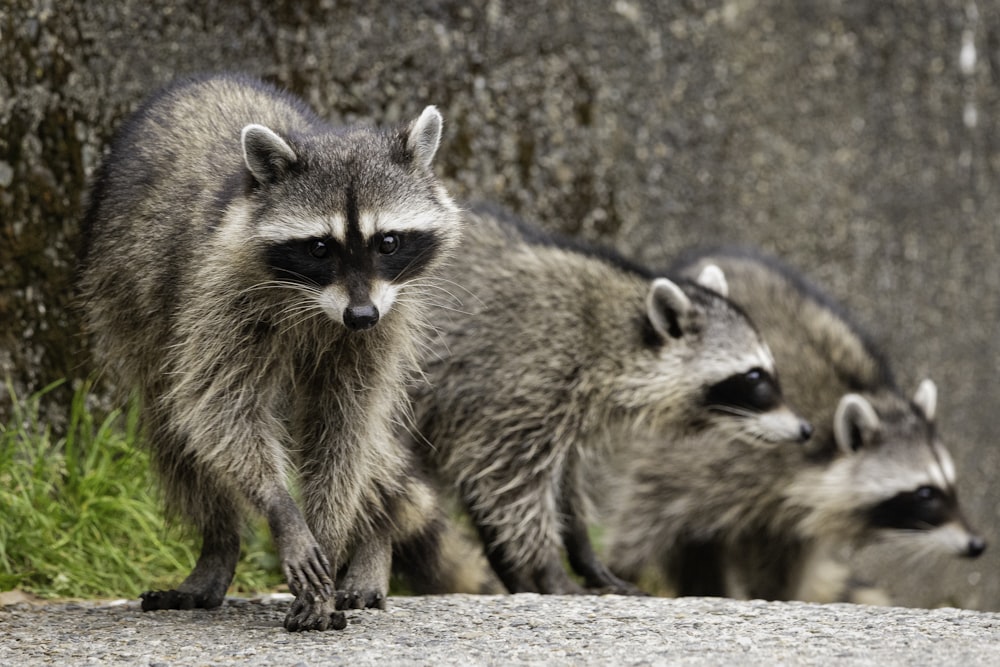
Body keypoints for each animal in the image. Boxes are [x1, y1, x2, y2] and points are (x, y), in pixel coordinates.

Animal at [76, 74, 462, 632]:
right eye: (320, 247)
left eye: (387, 242)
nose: (361, 316)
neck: (321, 307)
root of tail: (210, 79)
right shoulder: (218, 292)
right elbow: (217, 408)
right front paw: (282, 508)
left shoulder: (386, 318)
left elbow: (345, 425)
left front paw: (333, 530)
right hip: (128, 299)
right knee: (172, 421)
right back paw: (219, 544)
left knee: (372, 443)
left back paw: (374, 535)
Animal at [404, 207, 812, 596]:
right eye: (754, 377)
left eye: (769, 371)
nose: (805, 429)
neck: (612, 337)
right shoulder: (517, 384)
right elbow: (511, 487)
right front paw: (546, 567)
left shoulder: (556, 410)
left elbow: (561, 484)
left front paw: (581, 554)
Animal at [600, 248, 984, 604]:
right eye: (925, 494)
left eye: (951, 485)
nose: (977, 544)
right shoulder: (708, 459)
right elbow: (646, 516)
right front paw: (617, 569)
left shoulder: (788, 518)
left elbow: (781, 564)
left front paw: (774, 597)